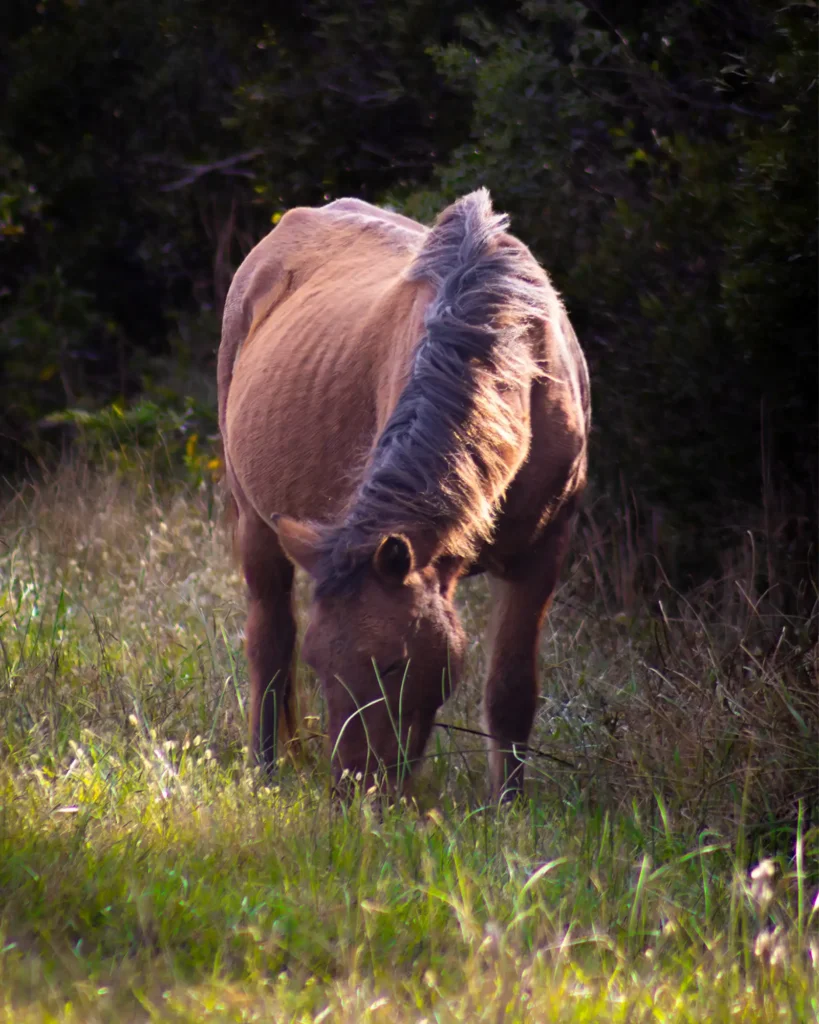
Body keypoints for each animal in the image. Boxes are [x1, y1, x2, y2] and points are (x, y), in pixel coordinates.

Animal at [218, 189, 590, 800]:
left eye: (393, 665)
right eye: (320, 666)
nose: (352, 791)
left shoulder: (543, 556)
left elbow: (511, 690)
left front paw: (507, 805)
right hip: (254, 521)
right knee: (269, 641)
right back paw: (264, 769)